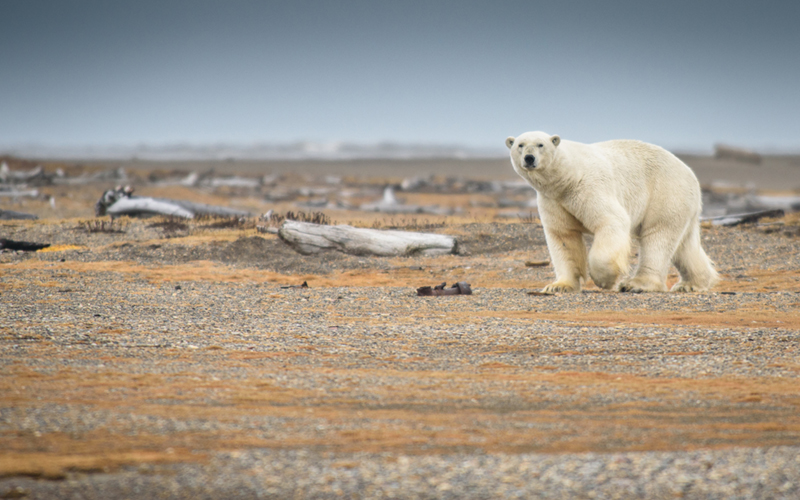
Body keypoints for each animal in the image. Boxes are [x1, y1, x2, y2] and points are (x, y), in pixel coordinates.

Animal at [506, 132, 720, 292]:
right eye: (520, 145)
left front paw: (605, 280)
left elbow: (611, 220)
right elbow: (563, 236)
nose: (529, 158)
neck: (566, 178)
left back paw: (637, 284)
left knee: (658, 236)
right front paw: (559, 286)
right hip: (681, 203)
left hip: (666, 193)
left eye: (540, 144)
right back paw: (691, 284)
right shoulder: (553, 200)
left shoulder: (588, 187)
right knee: (684, 245)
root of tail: (691, 175)